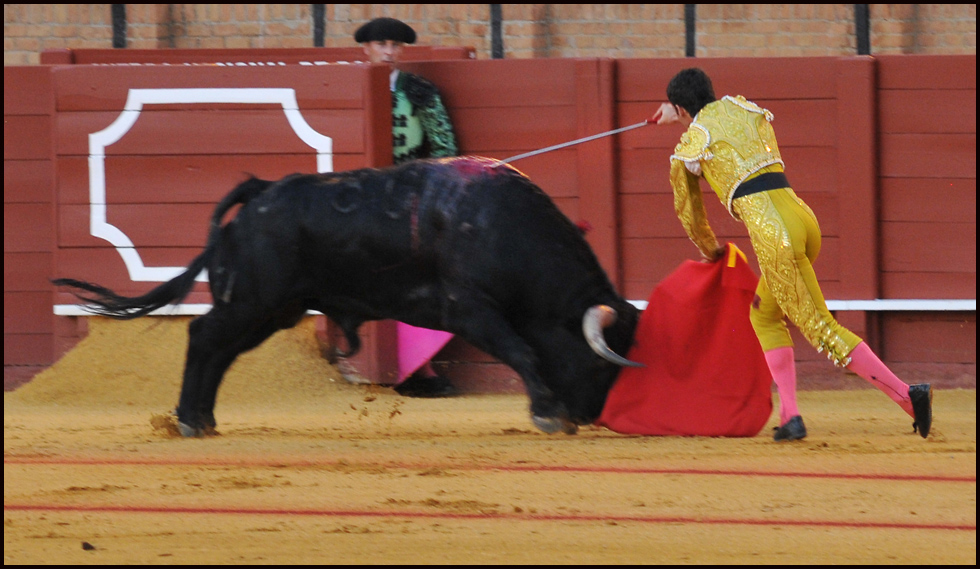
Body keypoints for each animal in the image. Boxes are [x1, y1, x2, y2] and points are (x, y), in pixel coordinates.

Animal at [53, 158, 640, 438]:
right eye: (598, 362)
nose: (591, 415)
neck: (502, 227)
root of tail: (261, 193)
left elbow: (526, 351)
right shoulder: (469, 309)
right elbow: (522, 351)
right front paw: (547, 412)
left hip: (273, 310)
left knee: (220, 351)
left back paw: (202, 420)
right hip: (252, 301)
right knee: (203, 336)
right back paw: (189, 420)